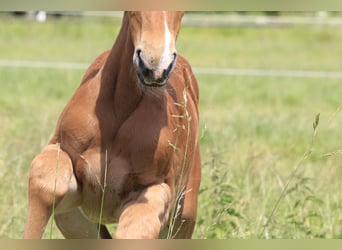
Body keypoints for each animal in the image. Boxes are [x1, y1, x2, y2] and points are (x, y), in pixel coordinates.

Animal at [22, 10, 200, 239]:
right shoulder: (61, 153)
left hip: (183, 218)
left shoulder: (157, 190)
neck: (120, 108)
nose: (155, 66)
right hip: (76, 222)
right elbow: (45, 181)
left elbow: (136, 228)